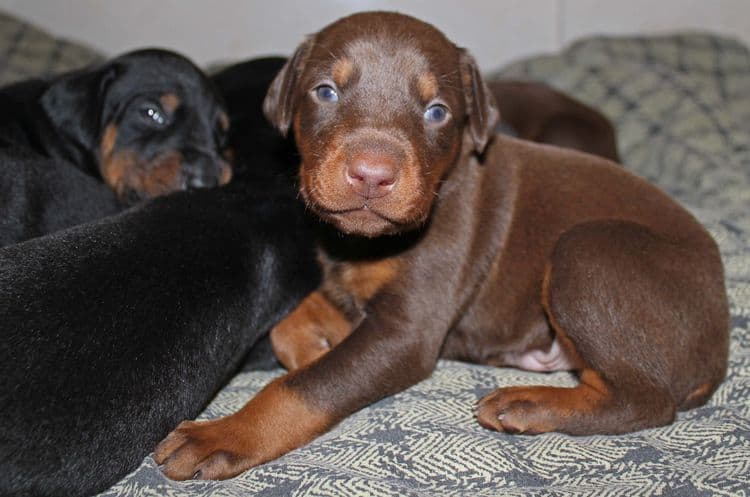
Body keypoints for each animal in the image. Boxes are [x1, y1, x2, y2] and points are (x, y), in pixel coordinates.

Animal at [156, 12, 732, 480]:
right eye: (325, 92)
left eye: (437, 111)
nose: (372, 175)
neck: (368, 245)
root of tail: (719, 345)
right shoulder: (346, 281)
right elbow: (295, 314)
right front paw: (311, 343)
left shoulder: (406, 333)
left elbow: (304, 388)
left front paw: (224, 433)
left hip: (586, 253)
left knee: (646, 401)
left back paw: (528, 405)